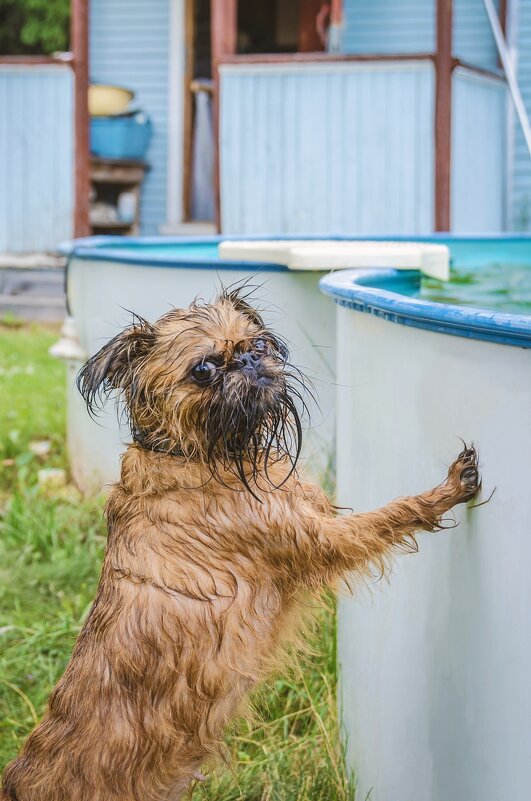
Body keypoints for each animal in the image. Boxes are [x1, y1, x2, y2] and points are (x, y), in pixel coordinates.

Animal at [0, 290, 482, 800]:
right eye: (204, 369)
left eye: (260, 344)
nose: (249, 360)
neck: (195, 452)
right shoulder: (320, 538)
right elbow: (387, 518)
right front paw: (445, 490)